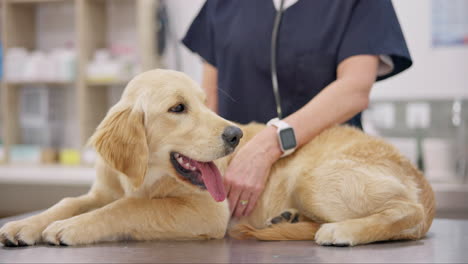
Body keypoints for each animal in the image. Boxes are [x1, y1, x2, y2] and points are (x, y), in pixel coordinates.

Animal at [0, 69, 436, 246]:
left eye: (206, 103)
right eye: (178, 108)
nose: (236, 135)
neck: (146, 177)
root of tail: (423, 181)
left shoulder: (206, 211)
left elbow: (127, 208)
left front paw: (69, 228)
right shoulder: (102, 190)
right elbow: (69, 201)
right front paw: (23, 225)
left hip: (311, 178)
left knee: (407, 213)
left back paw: (342, 230)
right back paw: (290, 220)